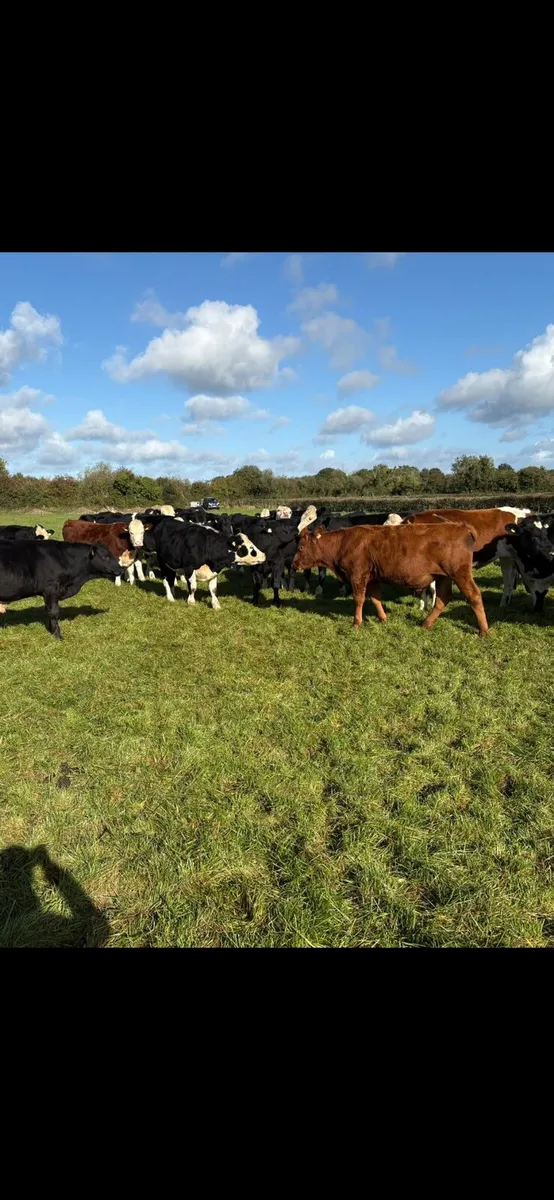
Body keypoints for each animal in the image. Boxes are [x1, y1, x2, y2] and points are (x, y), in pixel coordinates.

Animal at [292, 521, 489, 634]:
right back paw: (426, 623)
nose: (293, 564)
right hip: (442, 576)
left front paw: (356, 622)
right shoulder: (372, 577)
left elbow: (359, 599)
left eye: (300, 547)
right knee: (443, 598)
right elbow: (375, 598)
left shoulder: (357, 575)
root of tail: (461, 526)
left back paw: (484, 630)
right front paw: (383, 618)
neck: (343, 542)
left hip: (460, 573)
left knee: (474, 596)